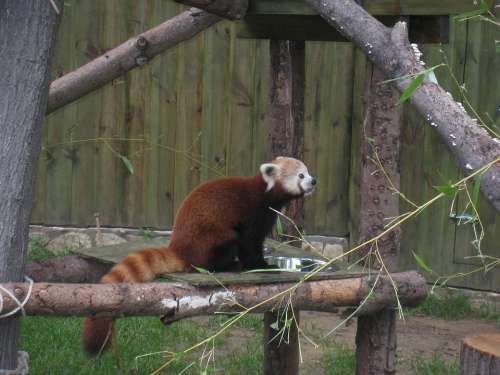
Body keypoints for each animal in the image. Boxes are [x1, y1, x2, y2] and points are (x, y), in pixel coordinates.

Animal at [82, 157, 316, 356]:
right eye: (301, 175)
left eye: (308, 172)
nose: (314, 181)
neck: (264, 192)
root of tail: (179, 247)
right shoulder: (253, 214)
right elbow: (249, 244)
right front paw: (262, 265)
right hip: (212, 238)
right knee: (224, 247)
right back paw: (229, 265)